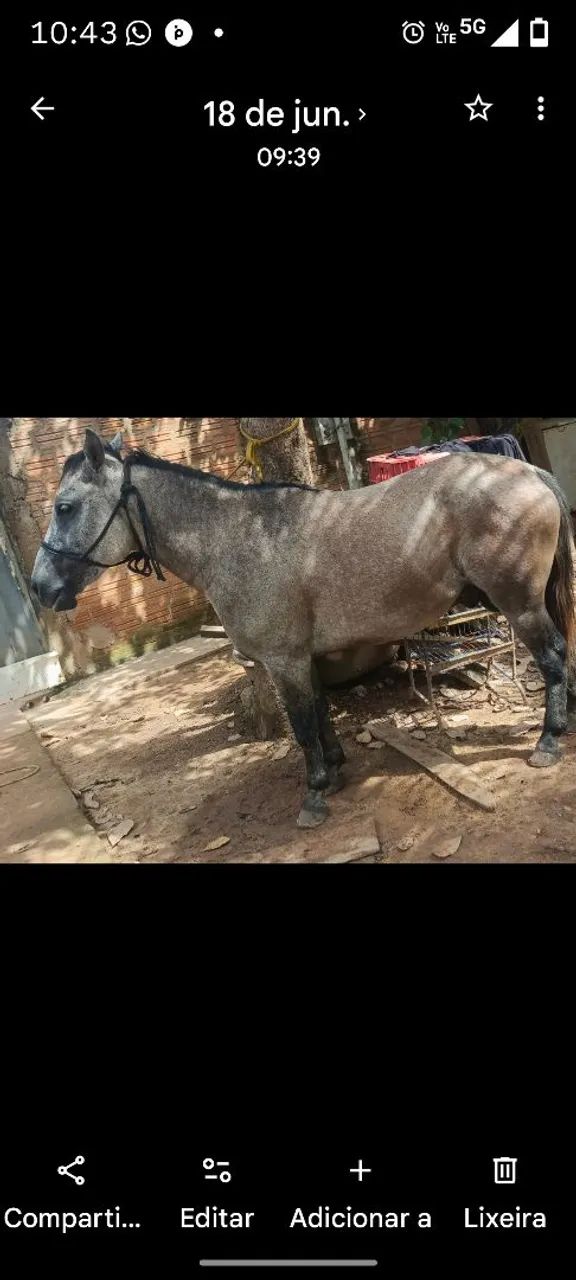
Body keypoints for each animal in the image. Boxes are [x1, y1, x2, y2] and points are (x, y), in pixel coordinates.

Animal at [31, 428, 576, 829]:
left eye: (65, 507)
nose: (40, 587)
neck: (238, 539)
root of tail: (529, 471)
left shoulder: (282, 660)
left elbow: (302, 725)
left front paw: (314, 795)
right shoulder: (302, 658)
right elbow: (319, 712)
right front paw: (333, 772)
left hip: (520, 605)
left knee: (552, 657)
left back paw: (548, 742)